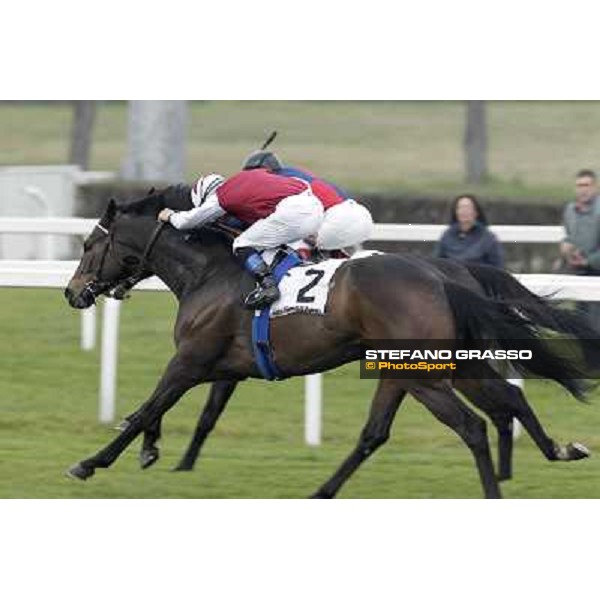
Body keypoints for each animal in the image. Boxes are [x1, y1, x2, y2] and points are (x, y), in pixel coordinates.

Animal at [65, 199, 600, 500]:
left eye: (90, 244)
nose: (73, 293)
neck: (208, 273)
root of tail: (444, 276)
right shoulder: (221, 365)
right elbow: (167, 411)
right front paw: (153, 450)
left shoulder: (193, 359)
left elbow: (147, 407)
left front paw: (91, 462)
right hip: (425, 368)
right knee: (482, 407)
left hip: (423, 374)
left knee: (473, 425)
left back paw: (495, 488)